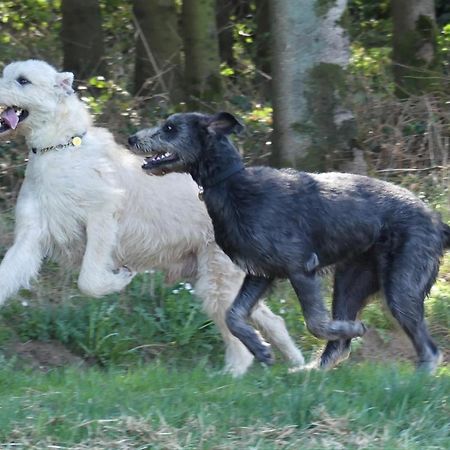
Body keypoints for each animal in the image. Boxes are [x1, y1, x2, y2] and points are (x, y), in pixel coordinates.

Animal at [0, 60, 302, 376]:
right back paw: (300, 365)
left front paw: (120, 279)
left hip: (218, 279)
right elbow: (7, 276)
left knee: (240, 340)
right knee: (271, 321)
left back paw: (231, 376)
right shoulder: (30, 237)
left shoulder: (102, 219)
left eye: (23, 80)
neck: (59, 147)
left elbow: (89, 280)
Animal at [127, 112, 450, 372]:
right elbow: (233, 315)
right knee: (340, 347)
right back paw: (310, 372)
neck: (231, 184)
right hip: (350, 282)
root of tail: (437, 222)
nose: (131, 138)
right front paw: (260, 349)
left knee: (430, 350)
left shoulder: (301, 269)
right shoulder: (260, 274)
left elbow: (316, 323)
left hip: (401, 287)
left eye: (170, 128)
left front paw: (353, 328)